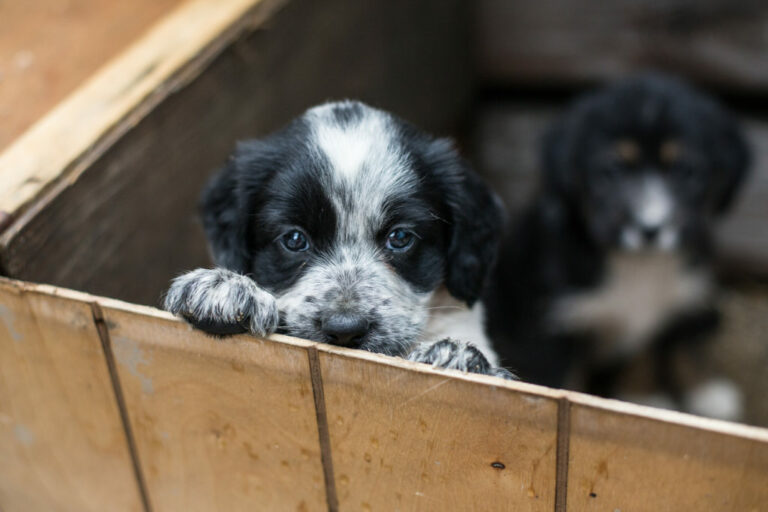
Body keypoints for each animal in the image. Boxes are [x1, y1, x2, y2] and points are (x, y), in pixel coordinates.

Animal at [486, 74, 752, 418]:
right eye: (611, 170)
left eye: (686, 170)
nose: (650, 228)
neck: (639, 264)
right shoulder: (552, 326)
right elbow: (564, 379)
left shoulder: (686, 297)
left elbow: (678, 347)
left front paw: (701, 391)